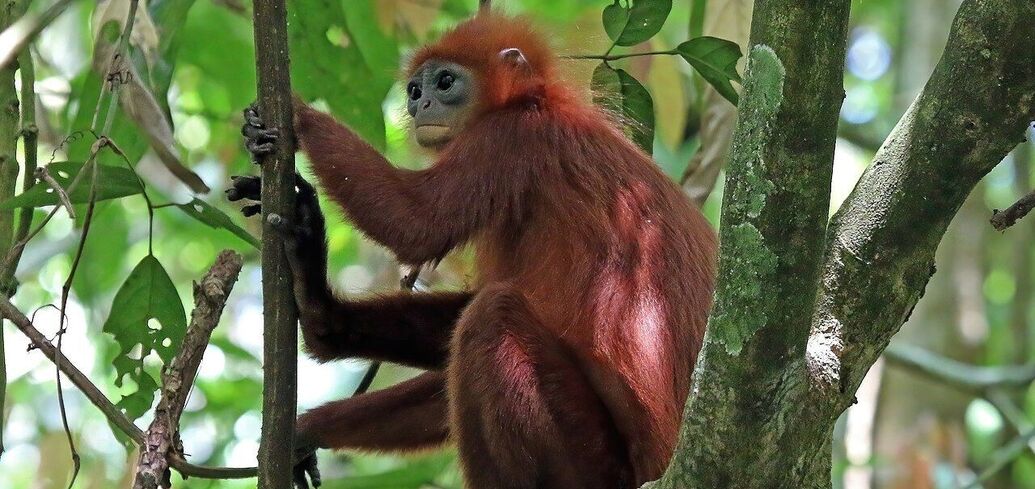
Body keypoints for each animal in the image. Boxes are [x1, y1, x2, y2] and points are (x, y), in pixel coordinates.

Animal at [232, 13, 720, 489]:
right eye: (414, 90)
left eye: (445, 82)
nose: (420, 105)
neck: (534, 102)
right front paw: (320, 318)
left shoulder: (506, 139)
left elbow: (413, 222)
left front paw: (298, 116)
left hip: (598, 463)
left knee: (490, 315)